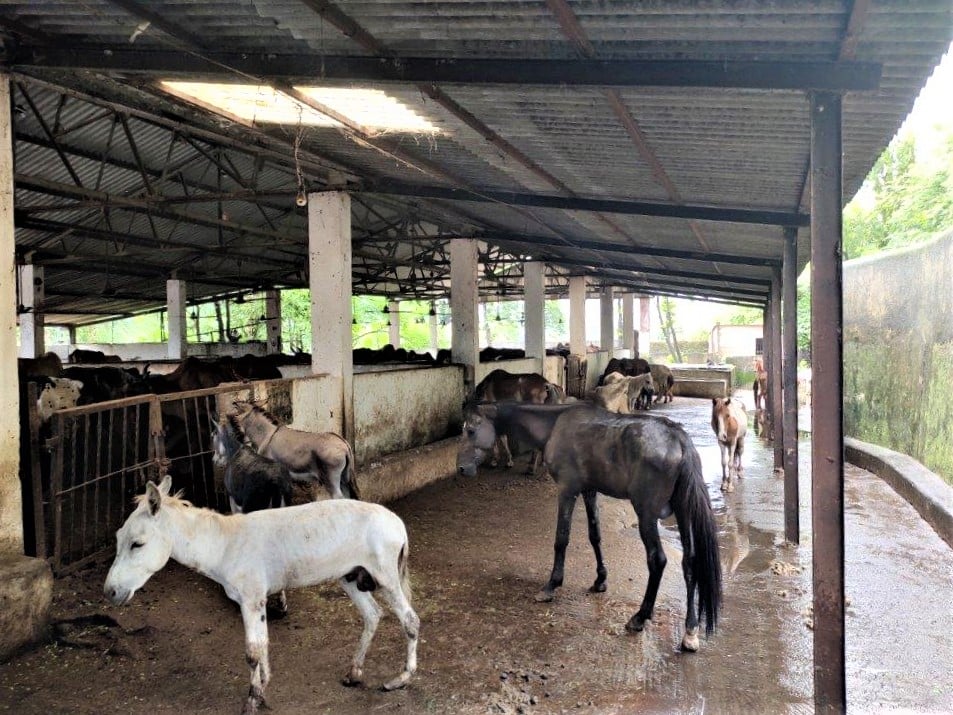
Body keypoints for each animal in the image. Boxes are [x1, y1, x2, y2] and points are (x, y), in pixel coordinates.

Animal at [458, 400, 716, 652]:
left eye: (471, 430)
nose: (461, 468)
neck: (555, 424)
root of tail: (679, 439)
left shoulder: (567, 490)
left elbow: (562, 538)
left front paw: (552, 585)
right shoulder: (589, 491)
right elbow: (595, 536)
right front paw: (600, 580)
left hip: (647, 515)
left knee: (658, 560)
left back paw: (640, 617)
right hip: (683, 512)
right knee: (689, 561)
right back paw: (690, 630)